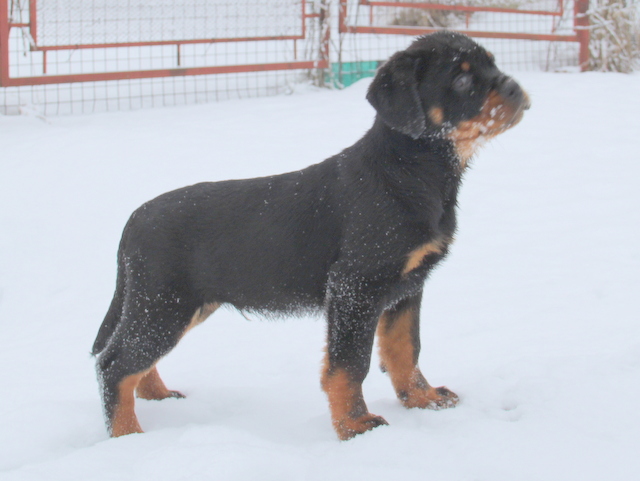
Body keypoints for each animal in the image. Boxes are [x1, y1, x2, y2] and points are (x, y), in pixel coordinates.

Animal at [91, 31, 528, 438]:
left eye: (493, 64)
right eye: (461, 80)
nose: (514, 88)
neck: (412, 171)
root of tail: (134, 219)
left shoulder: (408, 287)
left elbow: (405, 348)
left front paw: (423, 399)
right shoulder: (355, 287)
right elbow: (350, 364)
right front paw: (355, 425)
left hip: (177, 306)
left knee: (134, 361)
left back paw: (158, 397)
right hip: (164, 305)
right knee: (114, 363)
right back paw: (128, 434)